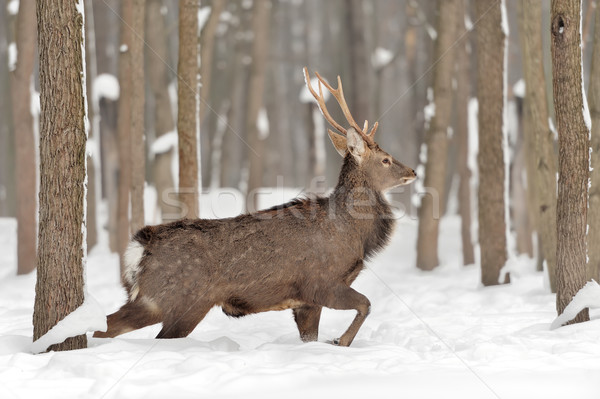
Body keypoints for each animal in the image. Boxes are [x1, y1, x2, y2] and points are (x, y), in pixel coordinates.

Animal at [94, 68, 414, 346]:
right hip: (180, 300)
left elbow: (311, 336)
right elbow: (366, 304)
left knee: (106, 324)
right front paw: (340, 341)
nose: (412, 171)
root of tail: (139, 246)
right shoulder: (320, 284)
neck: (353, 234)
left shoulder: (304, 302)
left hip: (153, 299)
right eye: (385, 160)